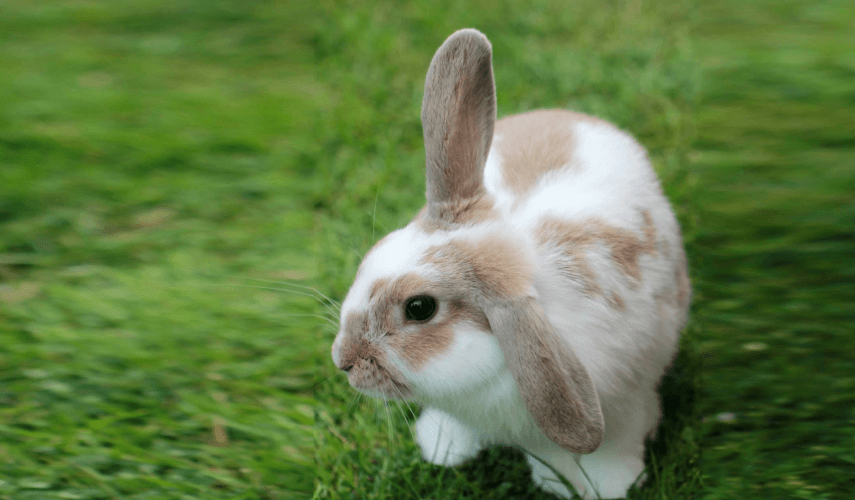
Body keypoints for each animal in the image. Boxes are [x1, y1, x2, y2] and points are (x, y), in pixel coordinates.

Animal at [330, 28, 691, 500]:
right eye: (376, 252)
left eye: (419, 308)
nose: (343, 360)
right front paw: (445, 447)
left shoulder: (626, 401)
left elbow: (612, 444)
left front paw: (608, 484)